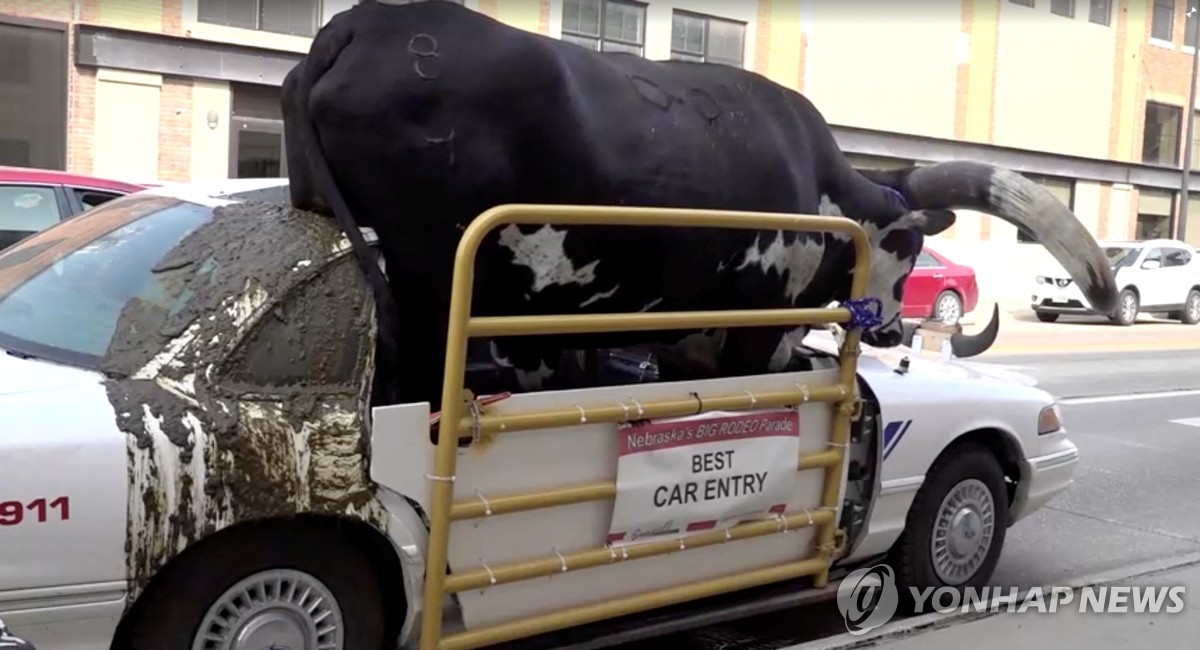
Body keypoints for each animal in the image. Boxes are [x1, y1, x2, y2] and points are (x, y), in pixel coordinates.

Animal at [278, 1, 1113, 412]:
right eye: (907, 251)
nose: (893, 330)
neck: (824, 190)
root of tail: (356, 25)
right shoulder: (754, 325)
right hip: (427, 284)